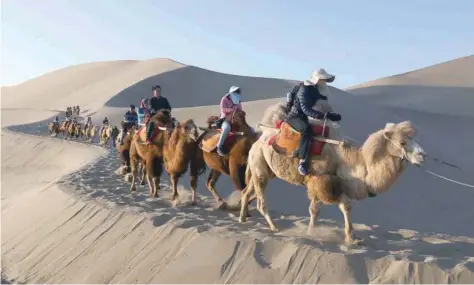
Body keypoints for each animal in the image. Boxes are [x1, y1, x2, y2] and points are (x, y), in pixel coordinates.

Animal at [239, 102, 428, 244]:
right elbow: (329, 208)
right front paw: (325, 235)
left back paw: (242, 218)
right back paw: (274, 227)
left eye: (414, 139)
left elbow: (330, 208)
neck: (352, 160)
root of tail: (258, 140)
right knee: (260, 201)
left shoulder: (333, 183)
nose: (423, 155)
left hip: (263, 169)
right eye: (402, 142)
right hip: (259, 166)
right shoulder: (321, 180)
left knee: (246, 191)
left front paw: (349, 237)